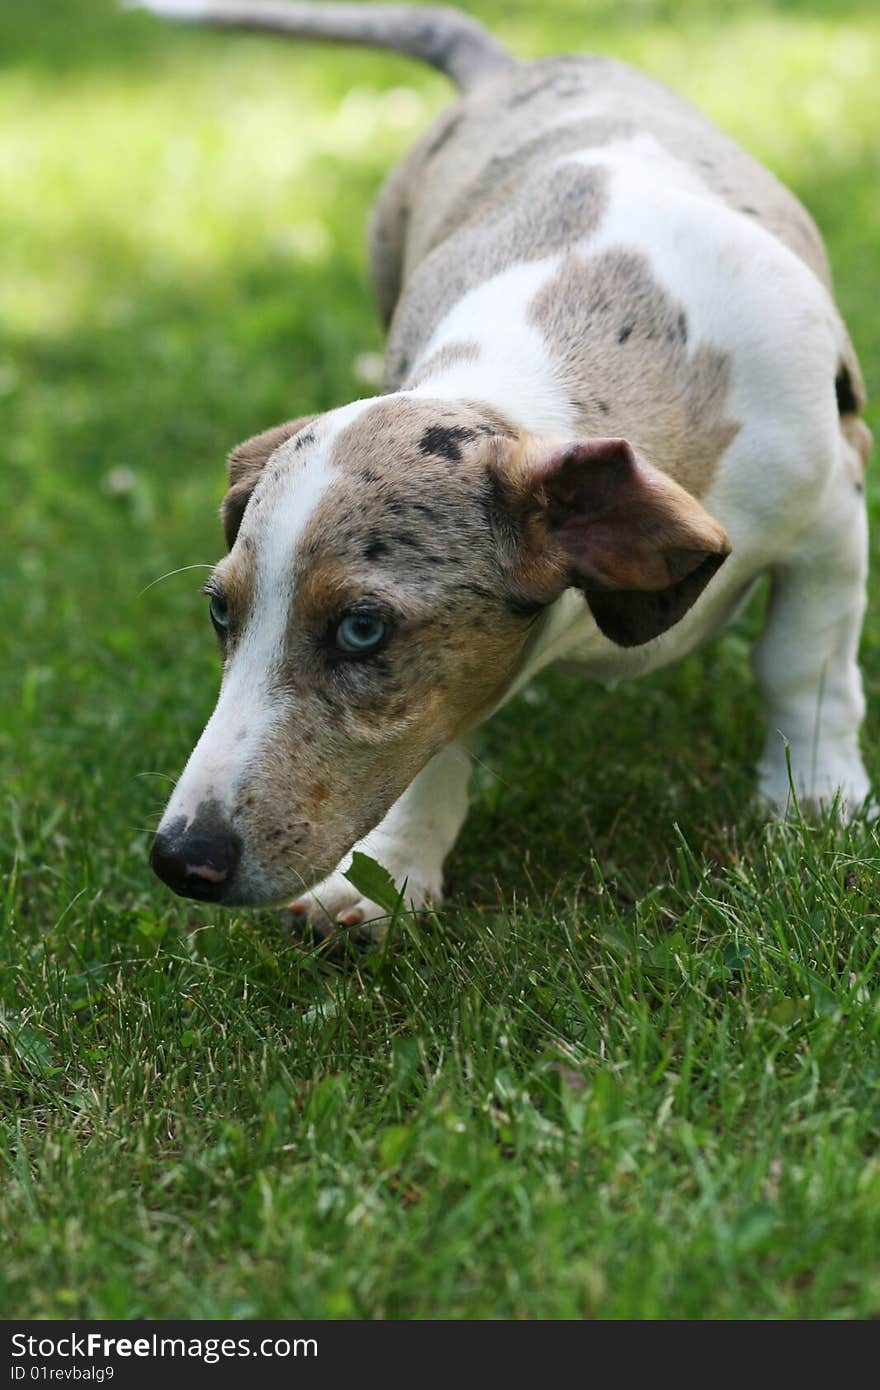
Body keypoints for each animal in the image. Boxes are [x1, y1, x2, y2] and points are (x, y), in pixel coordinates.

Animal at [139, 2, 873, 934]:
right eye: (218, 610)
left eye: (361, 629)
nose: (179, 860)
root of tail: (502, 68)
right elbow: (436, 739)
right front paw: (386, 874)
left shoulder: (832, 518)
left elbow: (801, 665)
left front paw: (815, 805)